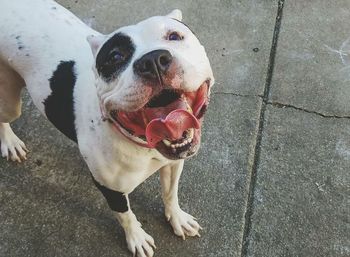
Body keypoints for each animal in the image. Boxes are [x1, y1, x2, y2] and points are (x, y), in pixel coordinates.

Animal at [0, 1, 213, 255]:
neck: (143, 144)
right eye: (115, 56)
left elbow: (170, 193)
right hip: (9, 100)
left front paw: (177, 218)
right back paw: (10, 143)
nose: (152, 60)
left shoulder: (173, 163)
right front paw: (137, 238)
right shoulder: (111, 189)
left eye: (174, 36)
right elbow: (125, 216)